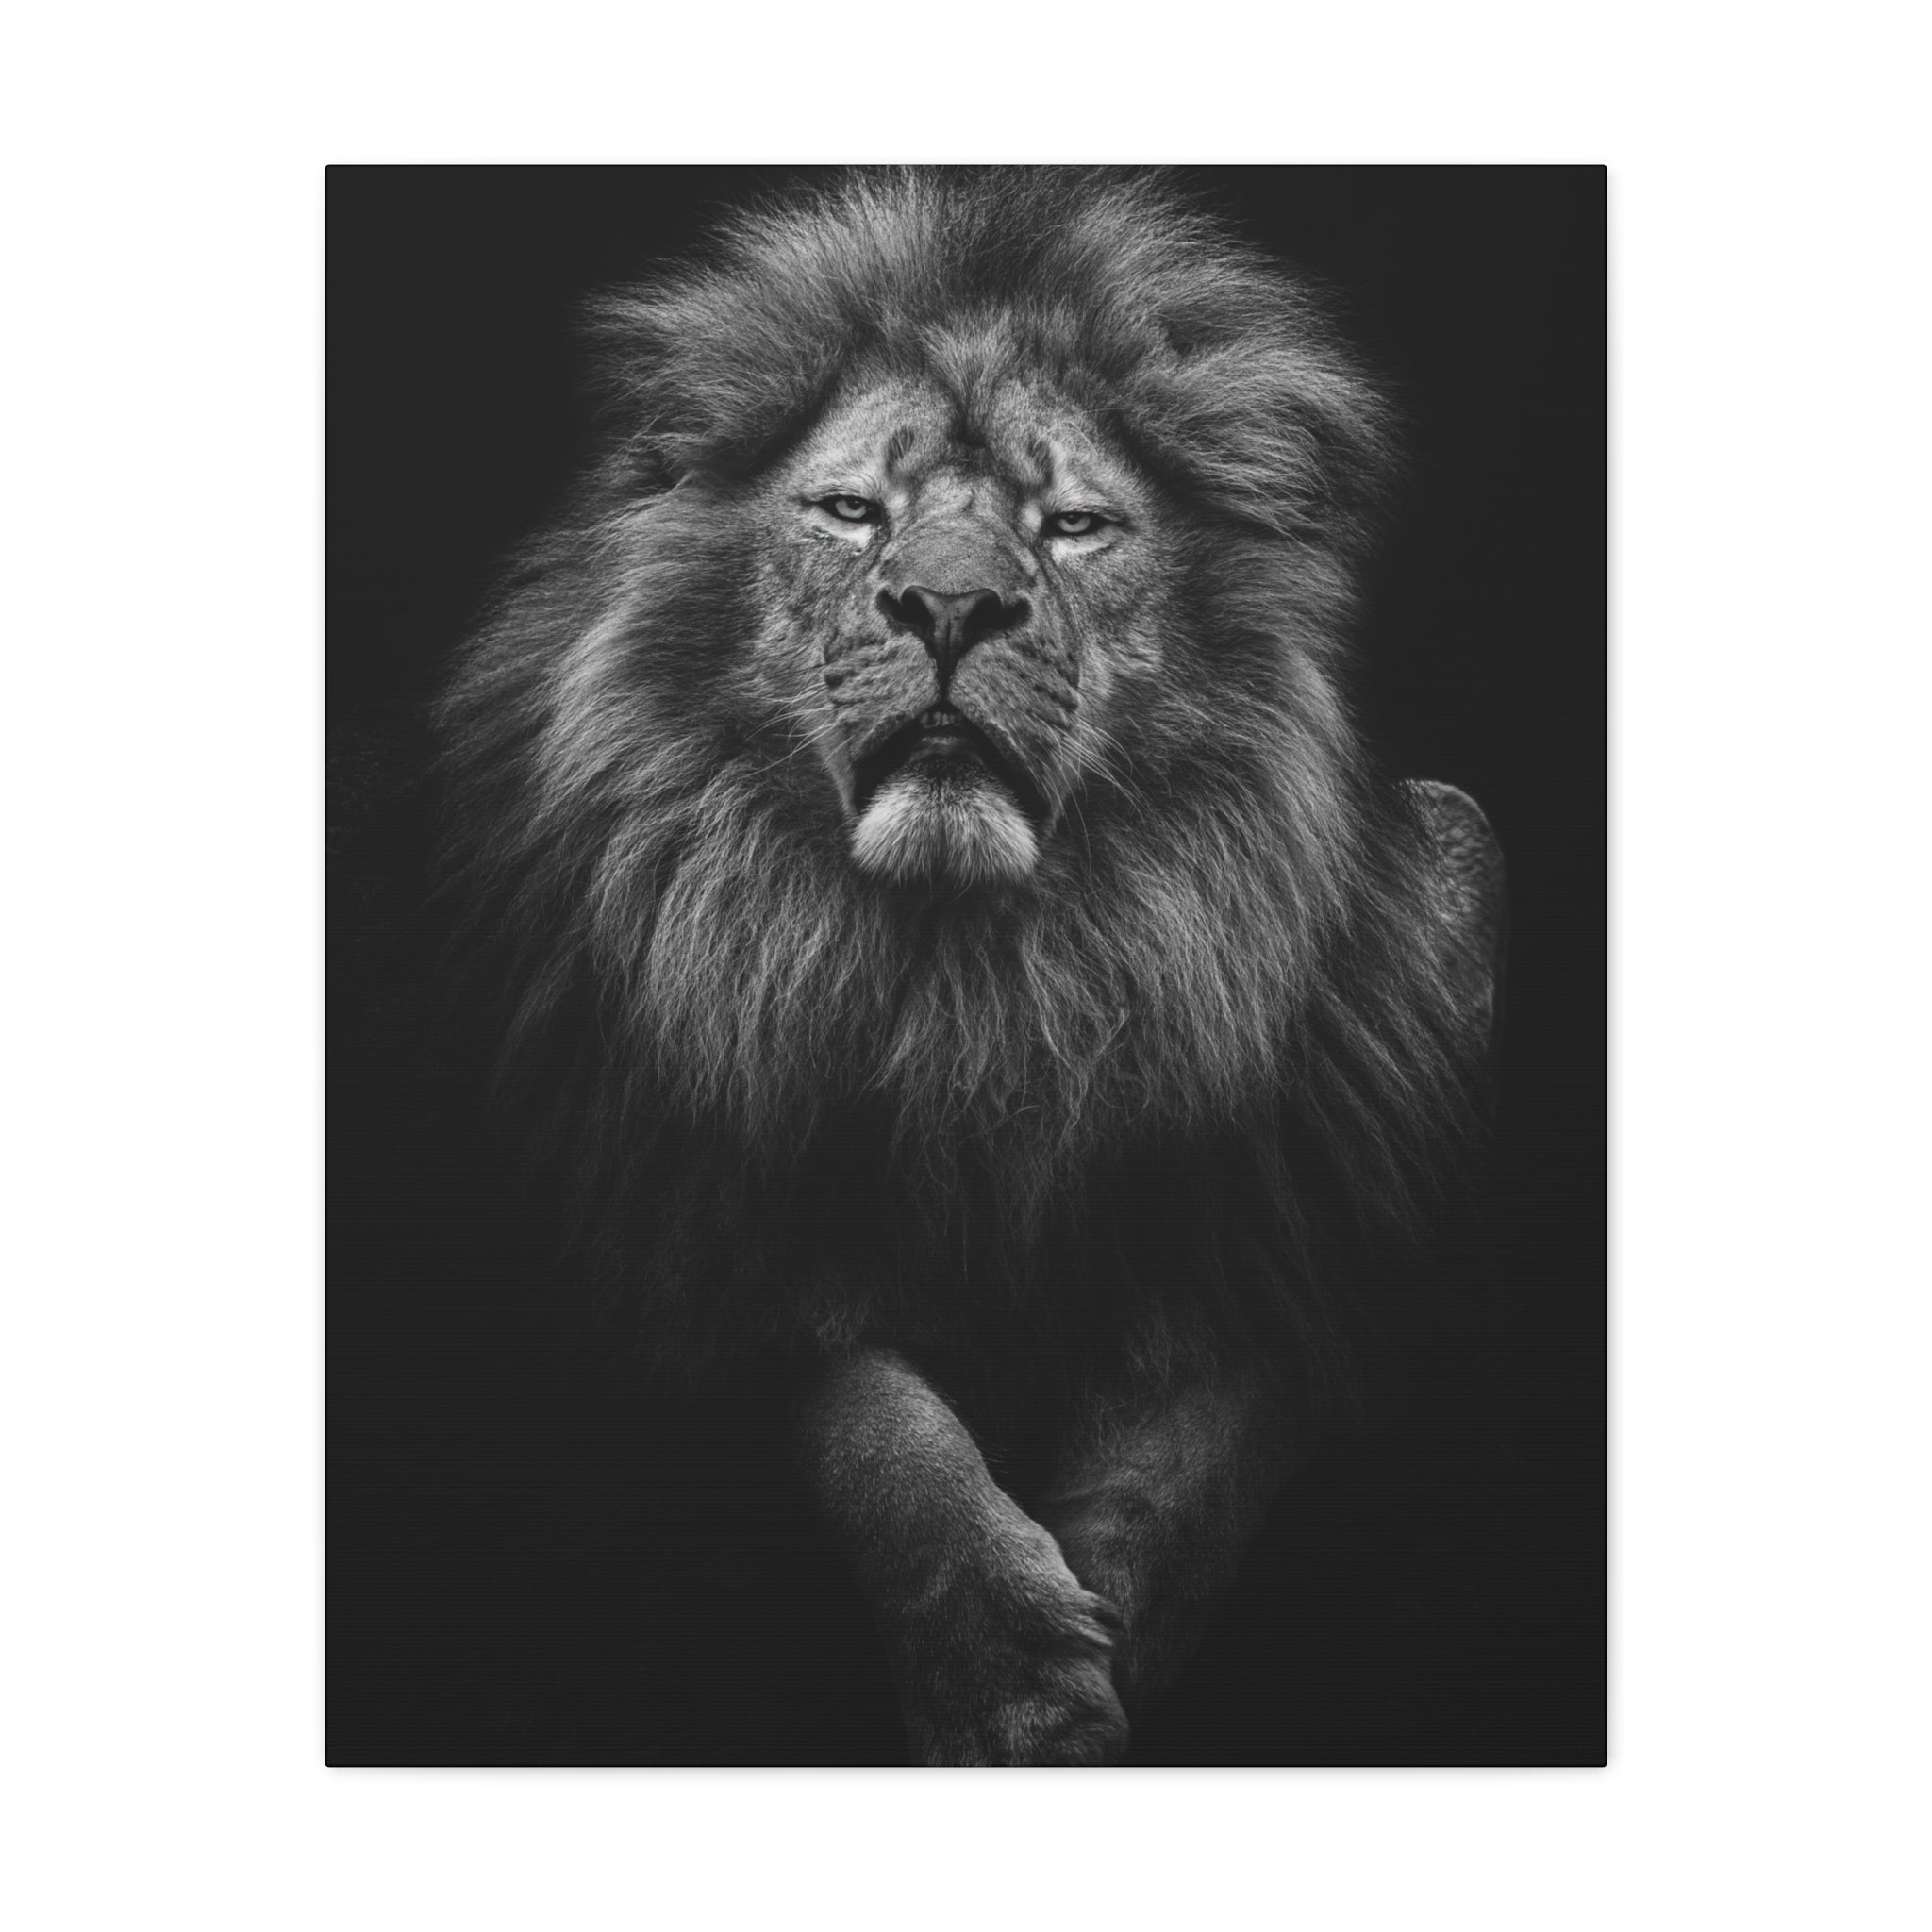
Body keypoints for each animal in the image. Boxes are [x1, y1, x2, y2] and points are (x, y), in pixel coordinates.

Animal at [432, 167, 1505, 1766]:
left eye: (1075, 526)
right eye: (850, 511)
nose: (948, 607)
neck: (976, 981)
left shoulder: (1302, 1215)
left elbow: (1198, 1445)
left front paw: (1105, 1627)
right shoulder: (706, 1229)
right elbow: (878, 1425)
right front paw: (1008, 1674)